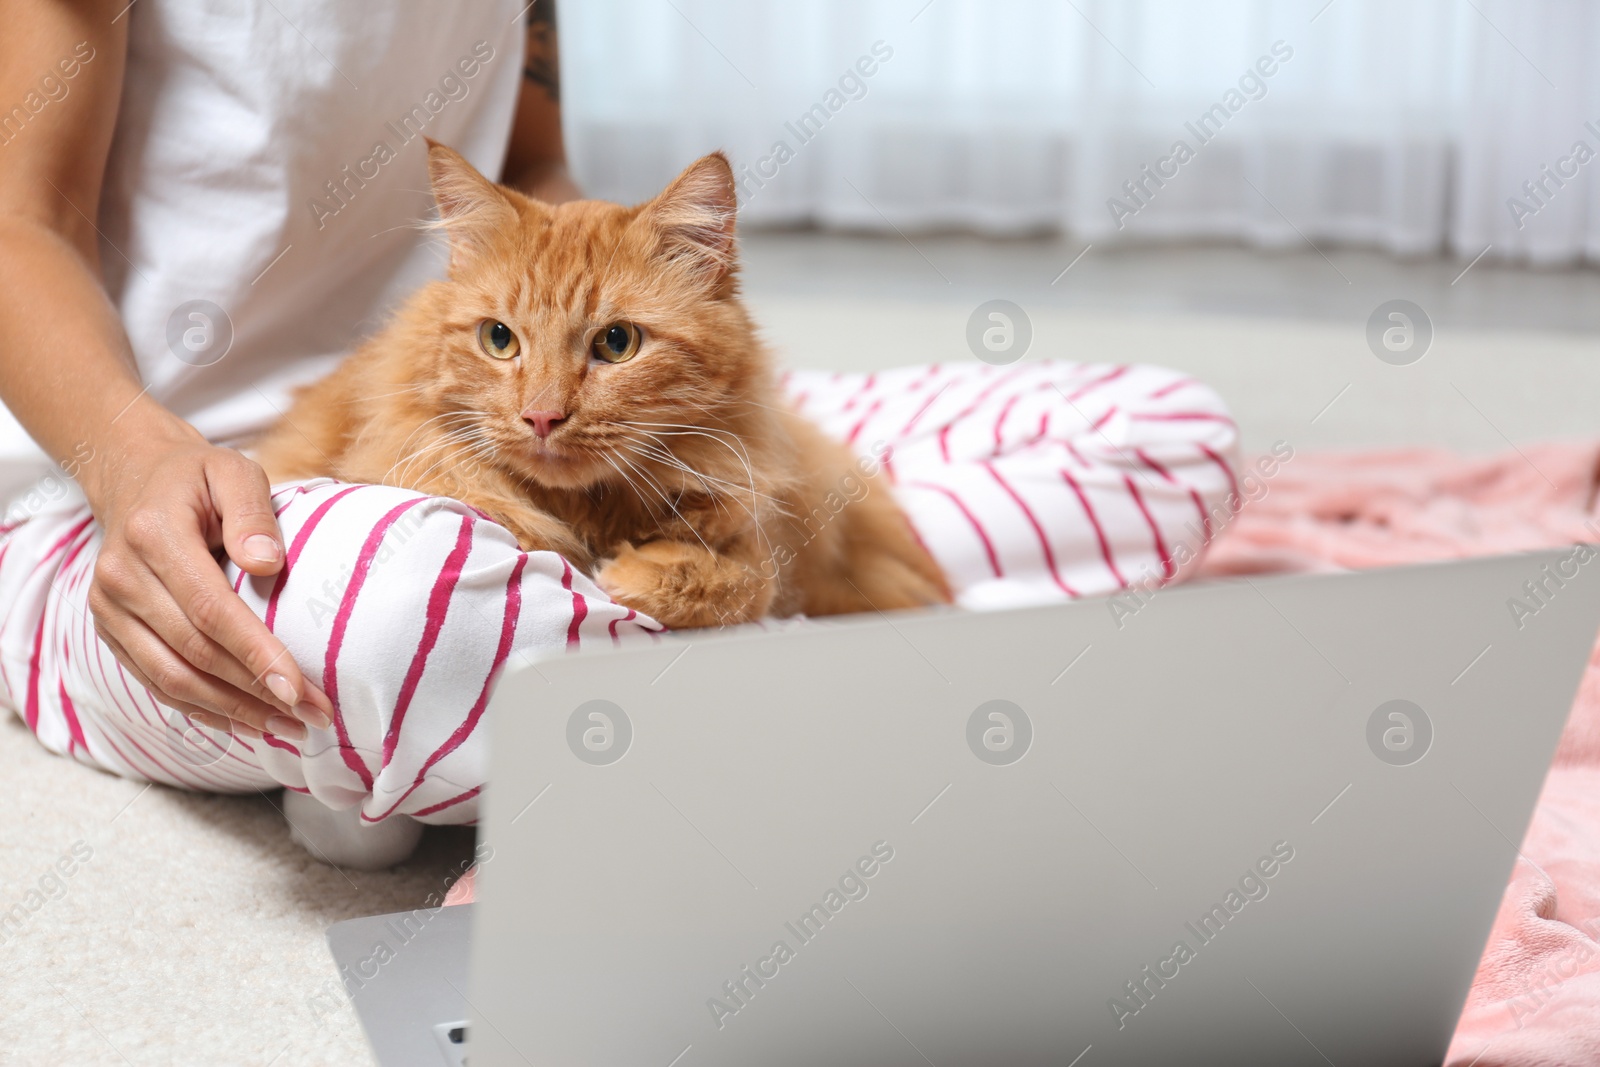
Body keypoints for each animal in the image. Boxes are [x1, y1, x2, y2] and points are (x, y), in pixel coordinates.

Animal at [252, 140, 947, 627]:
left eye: (617, 344)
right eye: (499, 339)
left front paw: (640, 574)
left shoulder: (755, 522)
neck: (589, 513)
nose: (541, 417)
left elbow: (752, 584)